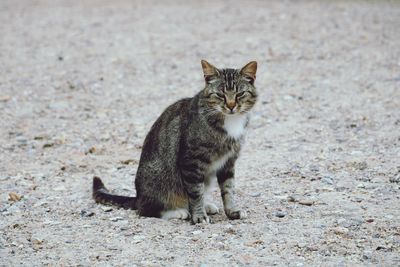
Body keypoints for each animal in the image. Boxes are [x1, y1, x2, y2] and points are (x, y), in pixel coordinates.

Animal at [92, 59, 258, 225]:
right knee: (145, 210)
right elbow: (195, 192)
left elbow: (228, 189)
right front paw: (199, 216)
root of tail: (138, 196)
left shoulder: (228, 161)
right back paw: (178, 211)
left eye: (240, 94)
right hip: (159, 180)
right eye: (220, 95)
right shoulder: (191, 161)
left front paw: (232, 211)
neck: (230, 121)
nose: (231, 106)